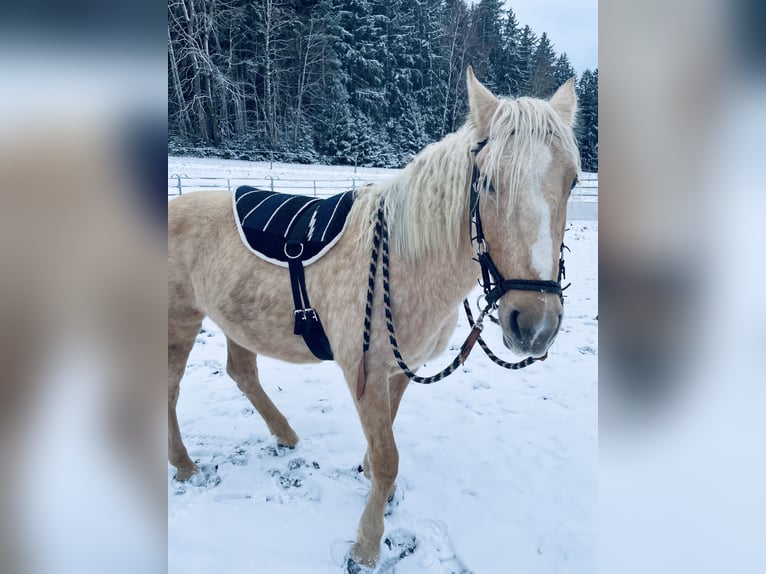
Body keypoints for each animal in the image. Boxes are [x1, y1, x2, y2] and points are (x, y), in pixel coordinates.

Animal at [168, 67, 580, 570]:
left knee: (242, 372)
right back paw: (184, 464)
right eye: (488, 183)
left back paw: (285, 436)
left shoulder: (401, 369)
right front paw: (366, 544)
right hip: (178, 320)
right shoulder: (362, 370)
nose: (535, 324)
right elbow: (388, 457)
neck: (406, 261)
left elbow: (386, 442)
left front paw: (374, 489)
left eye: (572, 183)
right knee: (168, 391)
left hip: (234, 319)